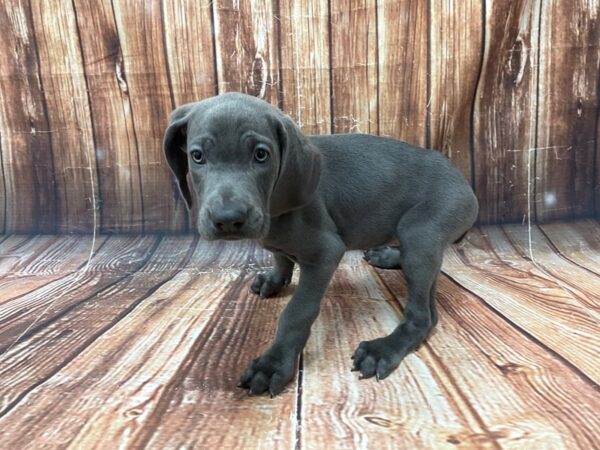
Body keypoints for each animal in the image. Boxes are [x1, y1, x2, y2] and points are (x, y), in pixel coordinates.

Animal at [164, 93, 478, 396]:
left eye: (261, 155)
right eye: (197, 156)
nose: (228, 219)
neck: (275, 205)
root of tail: (463, 181)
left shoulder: (325, 253)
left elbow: (298, 311)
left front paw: (273, 363)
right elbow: (281, 258)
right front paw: (274, 280)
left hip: (422, 232)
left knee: (423, 316)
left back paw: (382, 349)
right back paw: (388, 256)